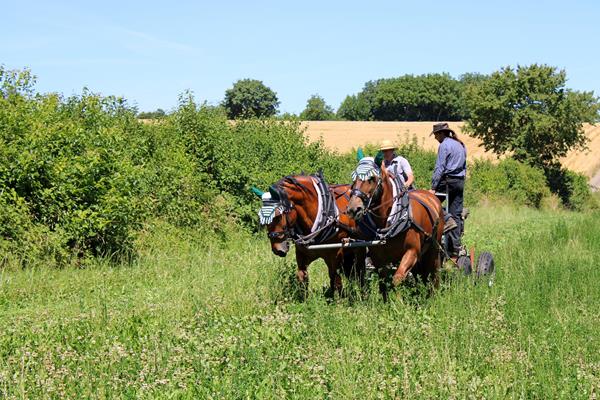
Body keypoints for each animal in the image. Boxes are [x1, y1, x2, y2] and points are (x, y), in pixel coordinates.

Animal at [344, 155, 442, 298]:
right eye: (354, 178)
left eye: (371, 178)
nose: (352, 209)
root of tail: (432, 197)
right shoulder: (378, 257)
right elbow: (384, 280)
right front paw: (387, 301)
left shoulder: (412, 251)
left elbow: (397, 278)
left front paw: (398, 301)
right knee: (420, 273)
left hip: (434, 246)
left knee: (434, 270)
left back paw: (433, 295)